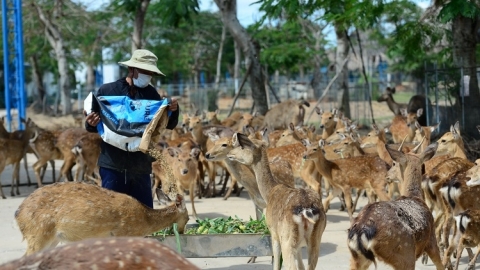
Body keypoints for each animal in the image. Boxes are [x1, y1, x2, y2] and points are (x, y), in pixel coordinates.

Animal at [15, 181, 188, 255]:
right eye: (187, 218)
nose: (182, 232)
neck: (144, 221)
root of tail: (18, 214)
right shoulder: (122, 234)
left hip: (52, 239)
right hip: (38, 234)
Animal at [228, 132, 326, 270]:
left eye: (242, 146)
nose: (230, 154)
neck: (269, 192)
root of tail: (306, 211)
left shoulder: (273, 232)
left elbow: (276, 264)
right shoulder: (299, 246)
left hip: (287, 239)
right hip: (315, 240)